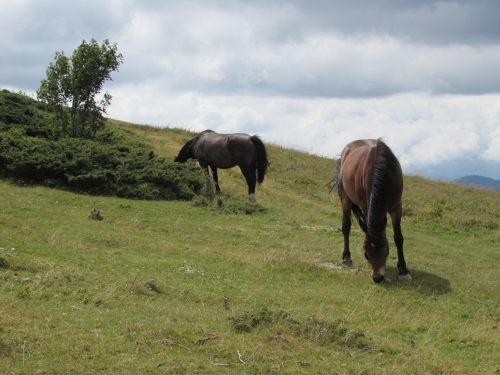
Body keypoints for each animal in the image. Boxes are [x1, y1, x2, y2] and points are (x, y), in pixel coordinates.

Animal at [334, 140, 412, 284]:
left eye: (385, 248)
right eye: (365, 248)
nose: (377, 278)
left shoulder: (396, 207)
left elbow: (398, 237)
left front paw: (403, 270)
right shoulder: (366, 204)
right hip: (346, 199)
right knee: (346, 227)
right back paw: (347, 258)